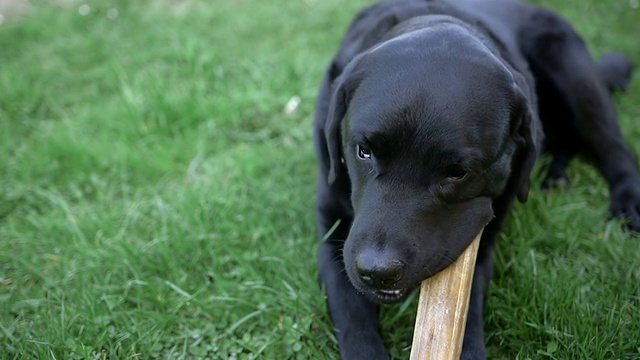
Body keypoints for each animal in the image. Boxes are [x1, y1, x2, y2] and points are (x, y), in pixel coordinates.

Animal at [312, 0, 636, 358]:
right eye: (364, 151)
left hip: (574, 74)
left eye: (457, 172)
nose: (378, 271)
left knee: (613, 145)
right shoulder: (333, 235)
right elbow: (354, 321)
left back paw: (628, 200)